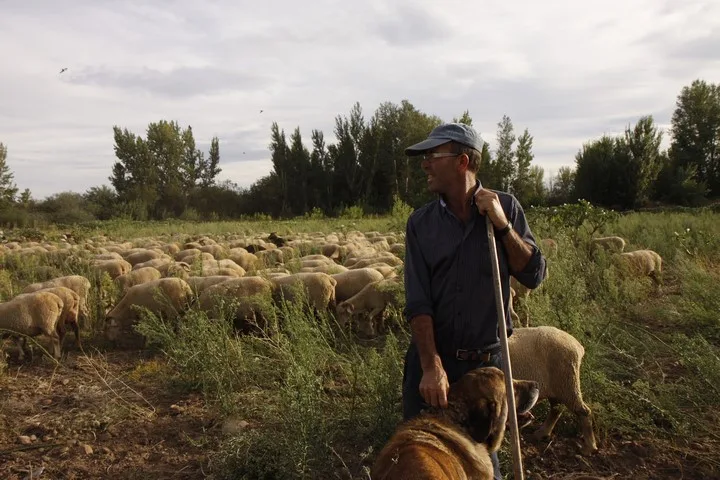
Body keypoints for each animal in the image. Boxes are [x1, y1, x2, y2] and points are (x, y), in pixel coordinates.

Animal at [508, 325, 598, 456]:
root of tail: (578, 346)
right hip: (558, 387)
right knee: (556, 410)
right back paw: (542, 433)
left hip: (567, 382)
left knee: (583, 411)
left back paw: (589, 448)